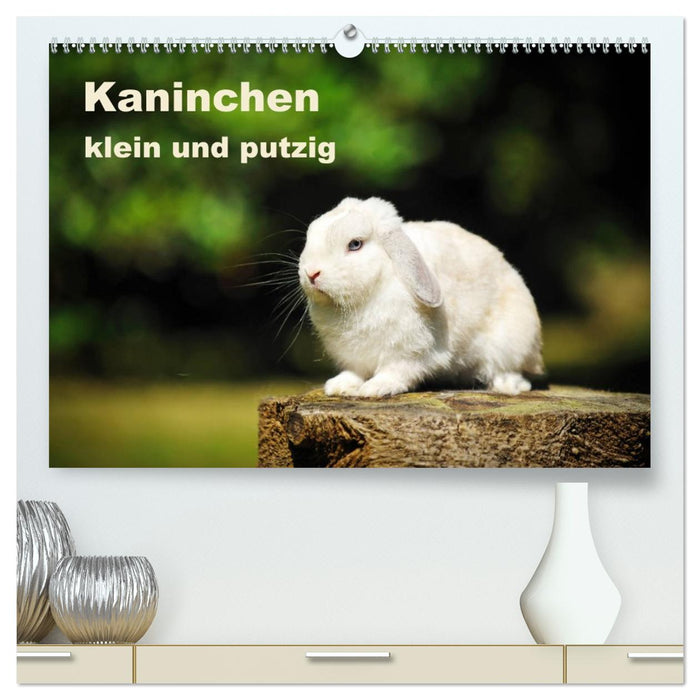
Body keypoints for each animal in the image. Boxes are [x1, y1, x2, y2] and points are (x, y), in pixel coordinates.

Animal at [298, 197, 544, 397]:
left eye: (355, 244)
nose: (311, 273)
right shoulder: (354, 356)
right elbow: (355, 371)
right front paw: (339, 386)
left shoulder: (409, 352)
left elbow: (396, 371)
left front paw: (375, 388)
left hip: (510, 342)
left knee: (510, 371)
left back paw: (506, 386)